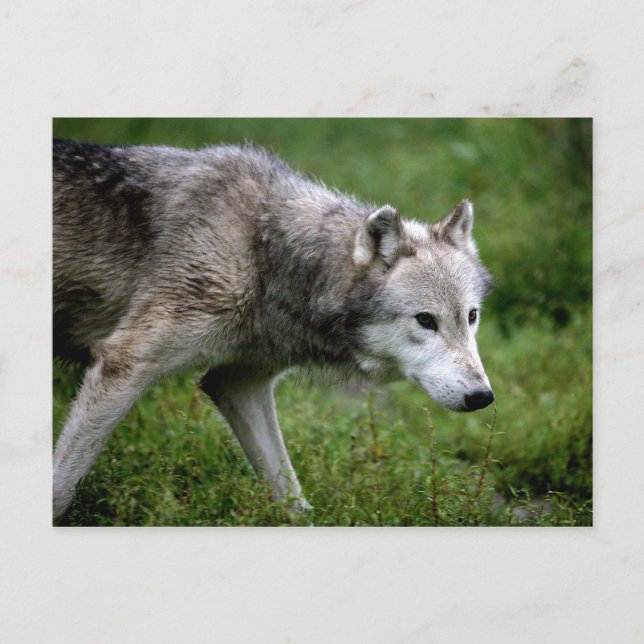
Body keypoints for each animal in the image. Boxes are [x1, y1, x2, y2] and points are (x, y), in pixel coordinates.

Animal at [53, 139, 494, 523]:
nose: (483, 397)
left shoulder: (237, 384)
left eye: (471, 317)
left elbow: (292, 497)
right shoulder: (125, 363)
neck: (263, 253)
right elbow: (60, 486)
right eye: (426, 320)